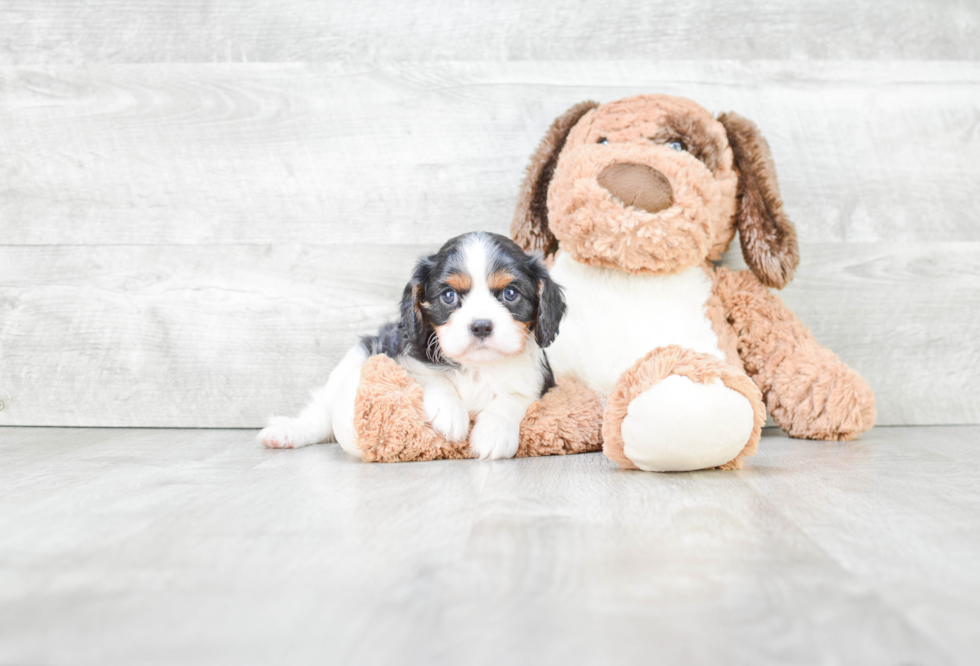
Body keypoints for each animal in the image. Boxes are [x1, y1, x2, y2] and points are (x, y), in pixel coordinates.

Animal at [258, 231, 568, 460]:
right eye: (449, 296)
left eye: (510, 294)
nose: (481, 325)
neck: (477, 367)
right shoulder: (402, 357)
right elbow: (429, 376)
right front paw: (449, 411)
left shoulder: (538, 383)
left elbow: (511, 399)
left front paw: (494, 432)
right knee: (321, 412)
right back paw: (287, 433)